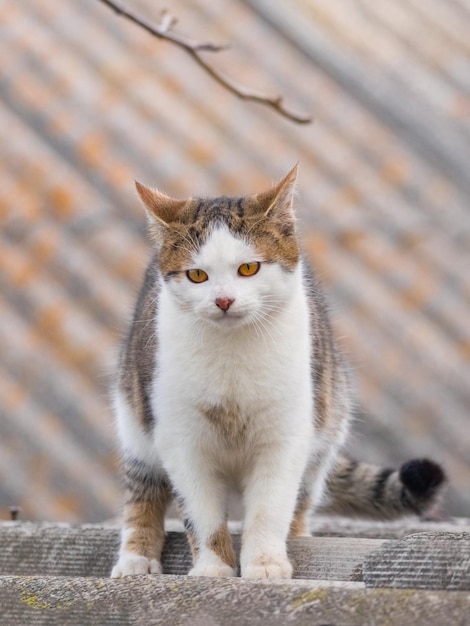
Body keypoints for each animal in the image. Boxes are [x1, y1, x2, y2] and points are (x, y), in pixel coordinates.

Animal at [110, 165, 444, 576]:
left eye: (248, 268)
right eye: (198, 276)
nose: (223, 300)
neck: (233, 356)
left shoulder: (286, 436)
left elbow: (270, 509)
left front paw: (265, 564)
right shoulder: (182, 439)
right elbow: (202, 515)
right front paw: (213, 568)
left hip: (326, 425)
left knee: (301, 498)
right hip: (135, 422)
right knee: (143, 493)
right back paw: (136, 557)